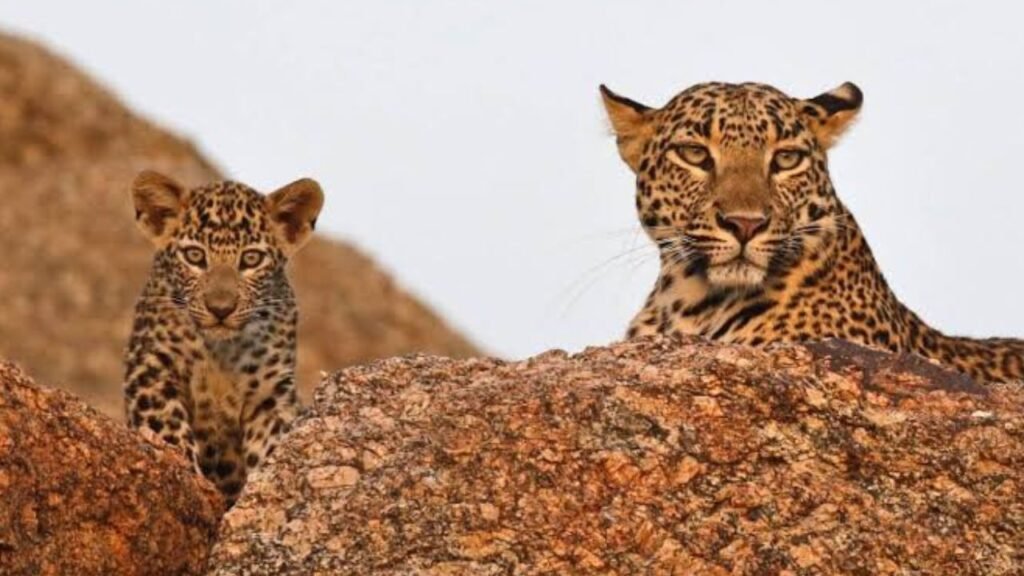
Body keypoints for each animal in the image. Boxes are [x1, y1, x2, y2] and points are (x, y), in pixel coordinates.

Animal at [124, 170, 323, 505]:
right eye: (195, 256)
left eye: (251, 259)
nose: (220, 309)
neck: (219, 352)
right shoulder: (151, 369)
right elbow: (168, 428)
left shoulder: (270, 393)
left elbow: (273, 445)